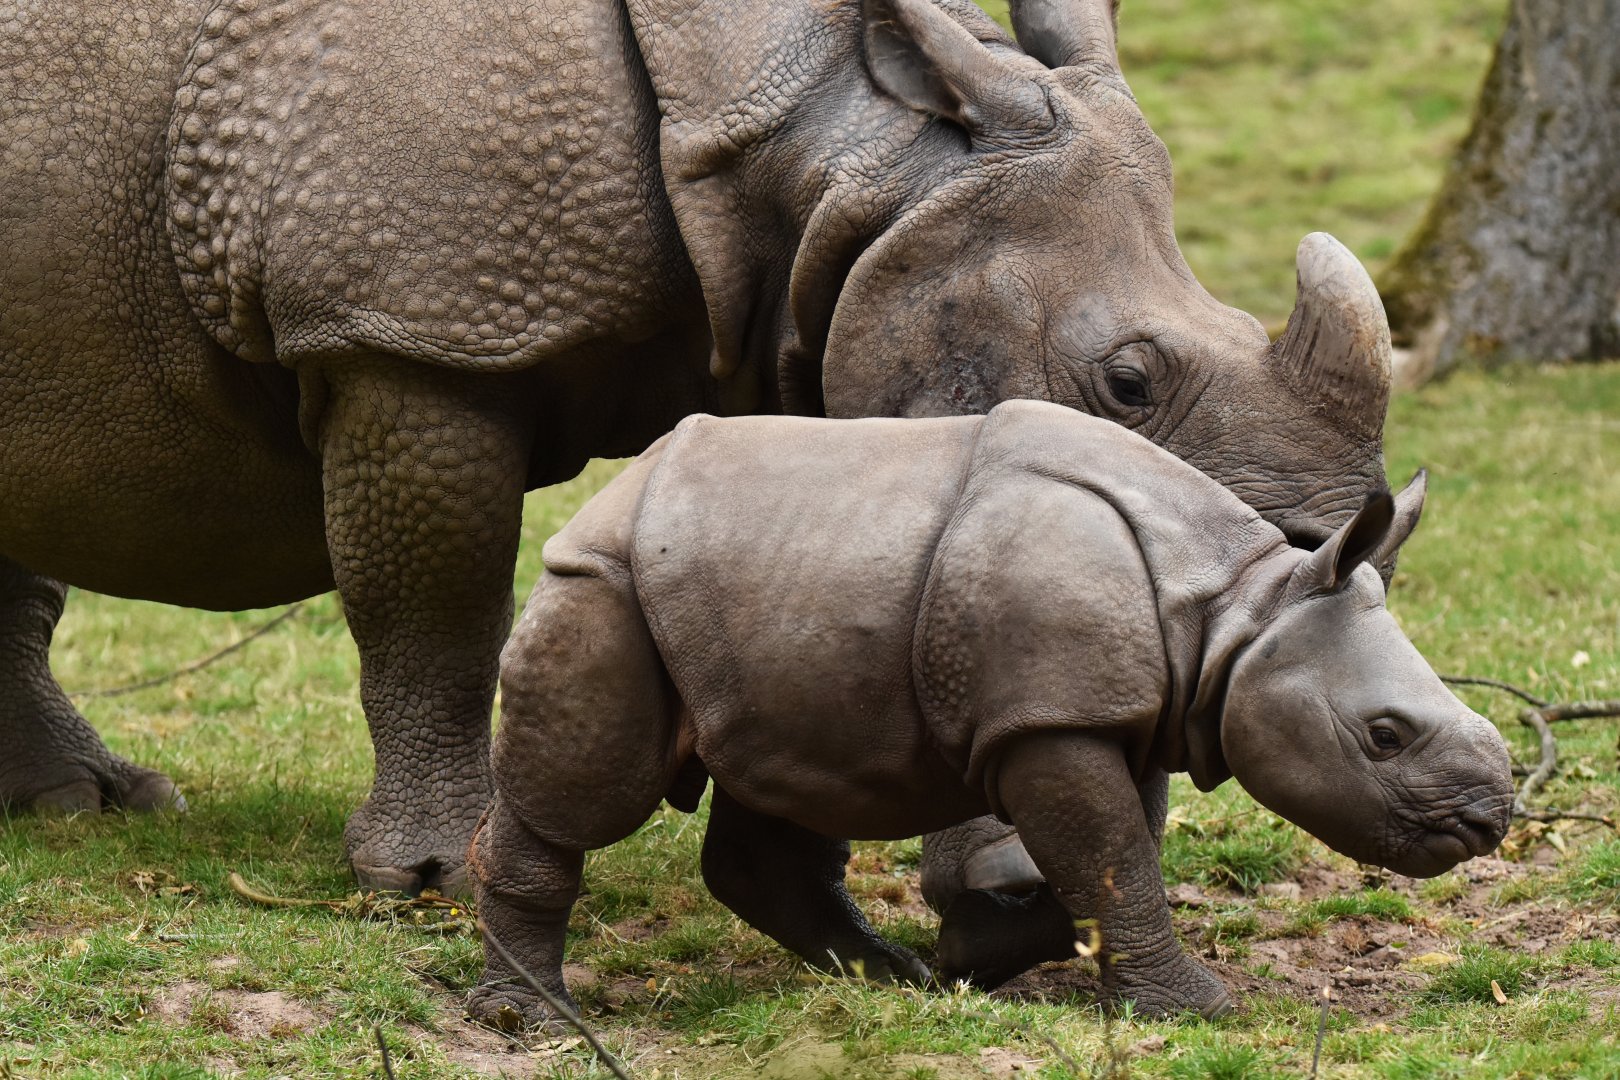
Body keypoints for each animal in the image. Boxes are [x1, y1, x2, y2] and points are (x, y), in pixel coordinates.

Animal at [2, 0, 1400, 903]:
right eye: (1129, 381)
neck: (838, 148)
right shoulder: (408, 333)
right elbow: (436, 617)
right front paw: (437, 876)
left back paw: (83, 808)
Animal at [467, 403, 1512, 1023]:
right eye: (1384, 735)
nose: (1489, 821)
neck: (1233, 612)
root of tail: (616, 488)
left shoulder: (1106, 707)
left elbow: (1114, 855)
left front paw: (970, 957)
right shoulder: (1054, 716)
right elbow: (1115, 859)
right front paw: (1203, 1011)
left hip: (749, 588)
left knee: (777, 769)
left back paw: (890, 978)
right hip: (602, 580)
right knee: (584, 799)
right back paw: (527, 1019)